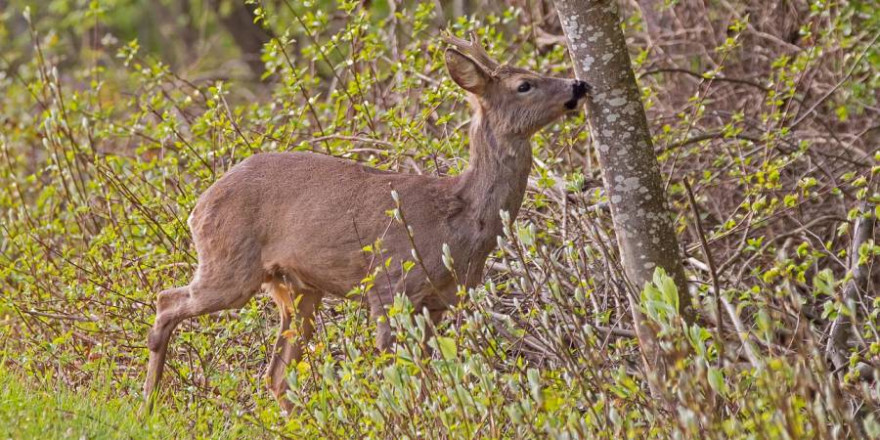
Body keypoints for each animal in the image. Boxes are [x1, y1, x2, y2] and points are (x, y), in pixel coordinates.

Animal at [143, 31, 592, 412]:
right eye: (524, 85)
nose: (578, 86)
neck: (458, 219)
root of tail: (197, 206)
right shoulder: (390, 284)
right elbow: (397, 374)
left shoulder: (438, 302)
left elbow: (422, 376)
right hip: (231, 263)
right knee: (167, 301)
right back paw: (148, 405)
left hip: (298, 289)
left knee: (276, 374)